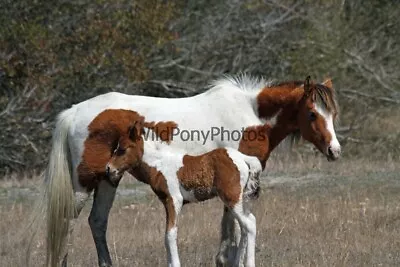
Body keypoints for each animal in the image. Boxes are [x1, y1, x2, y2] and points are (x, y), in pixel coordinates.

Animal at [106, 118, 262, 267]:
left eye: (122, 149)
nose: (108, 168)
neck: (160, 164)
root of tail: (244, 158)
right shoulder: (166, 202)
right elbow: (167, 235)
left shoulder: (174, 200)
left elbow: (170, 234)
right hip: (241, 199)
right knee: (245, 226)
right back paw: (237, 263)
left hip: (231, 198)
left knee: (249, 224)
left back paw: (249, 263)